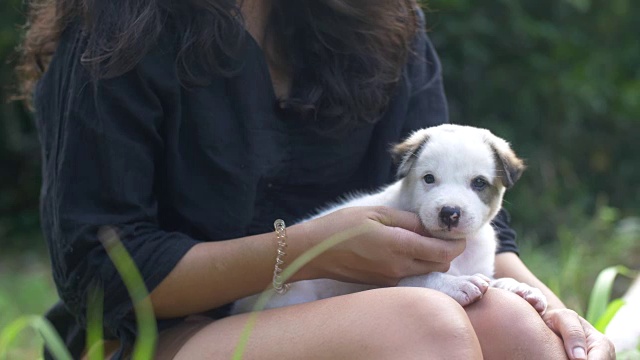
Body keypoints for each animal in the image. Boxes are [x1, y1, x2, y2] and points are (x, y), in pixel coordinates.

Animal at [232, 124, 548, 316]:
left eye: (479, 183)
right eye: (429, 179)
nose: (449, 212)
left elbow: (495, 280)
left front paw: (519, 287)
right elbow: (421, 276)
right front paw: (456, 284)